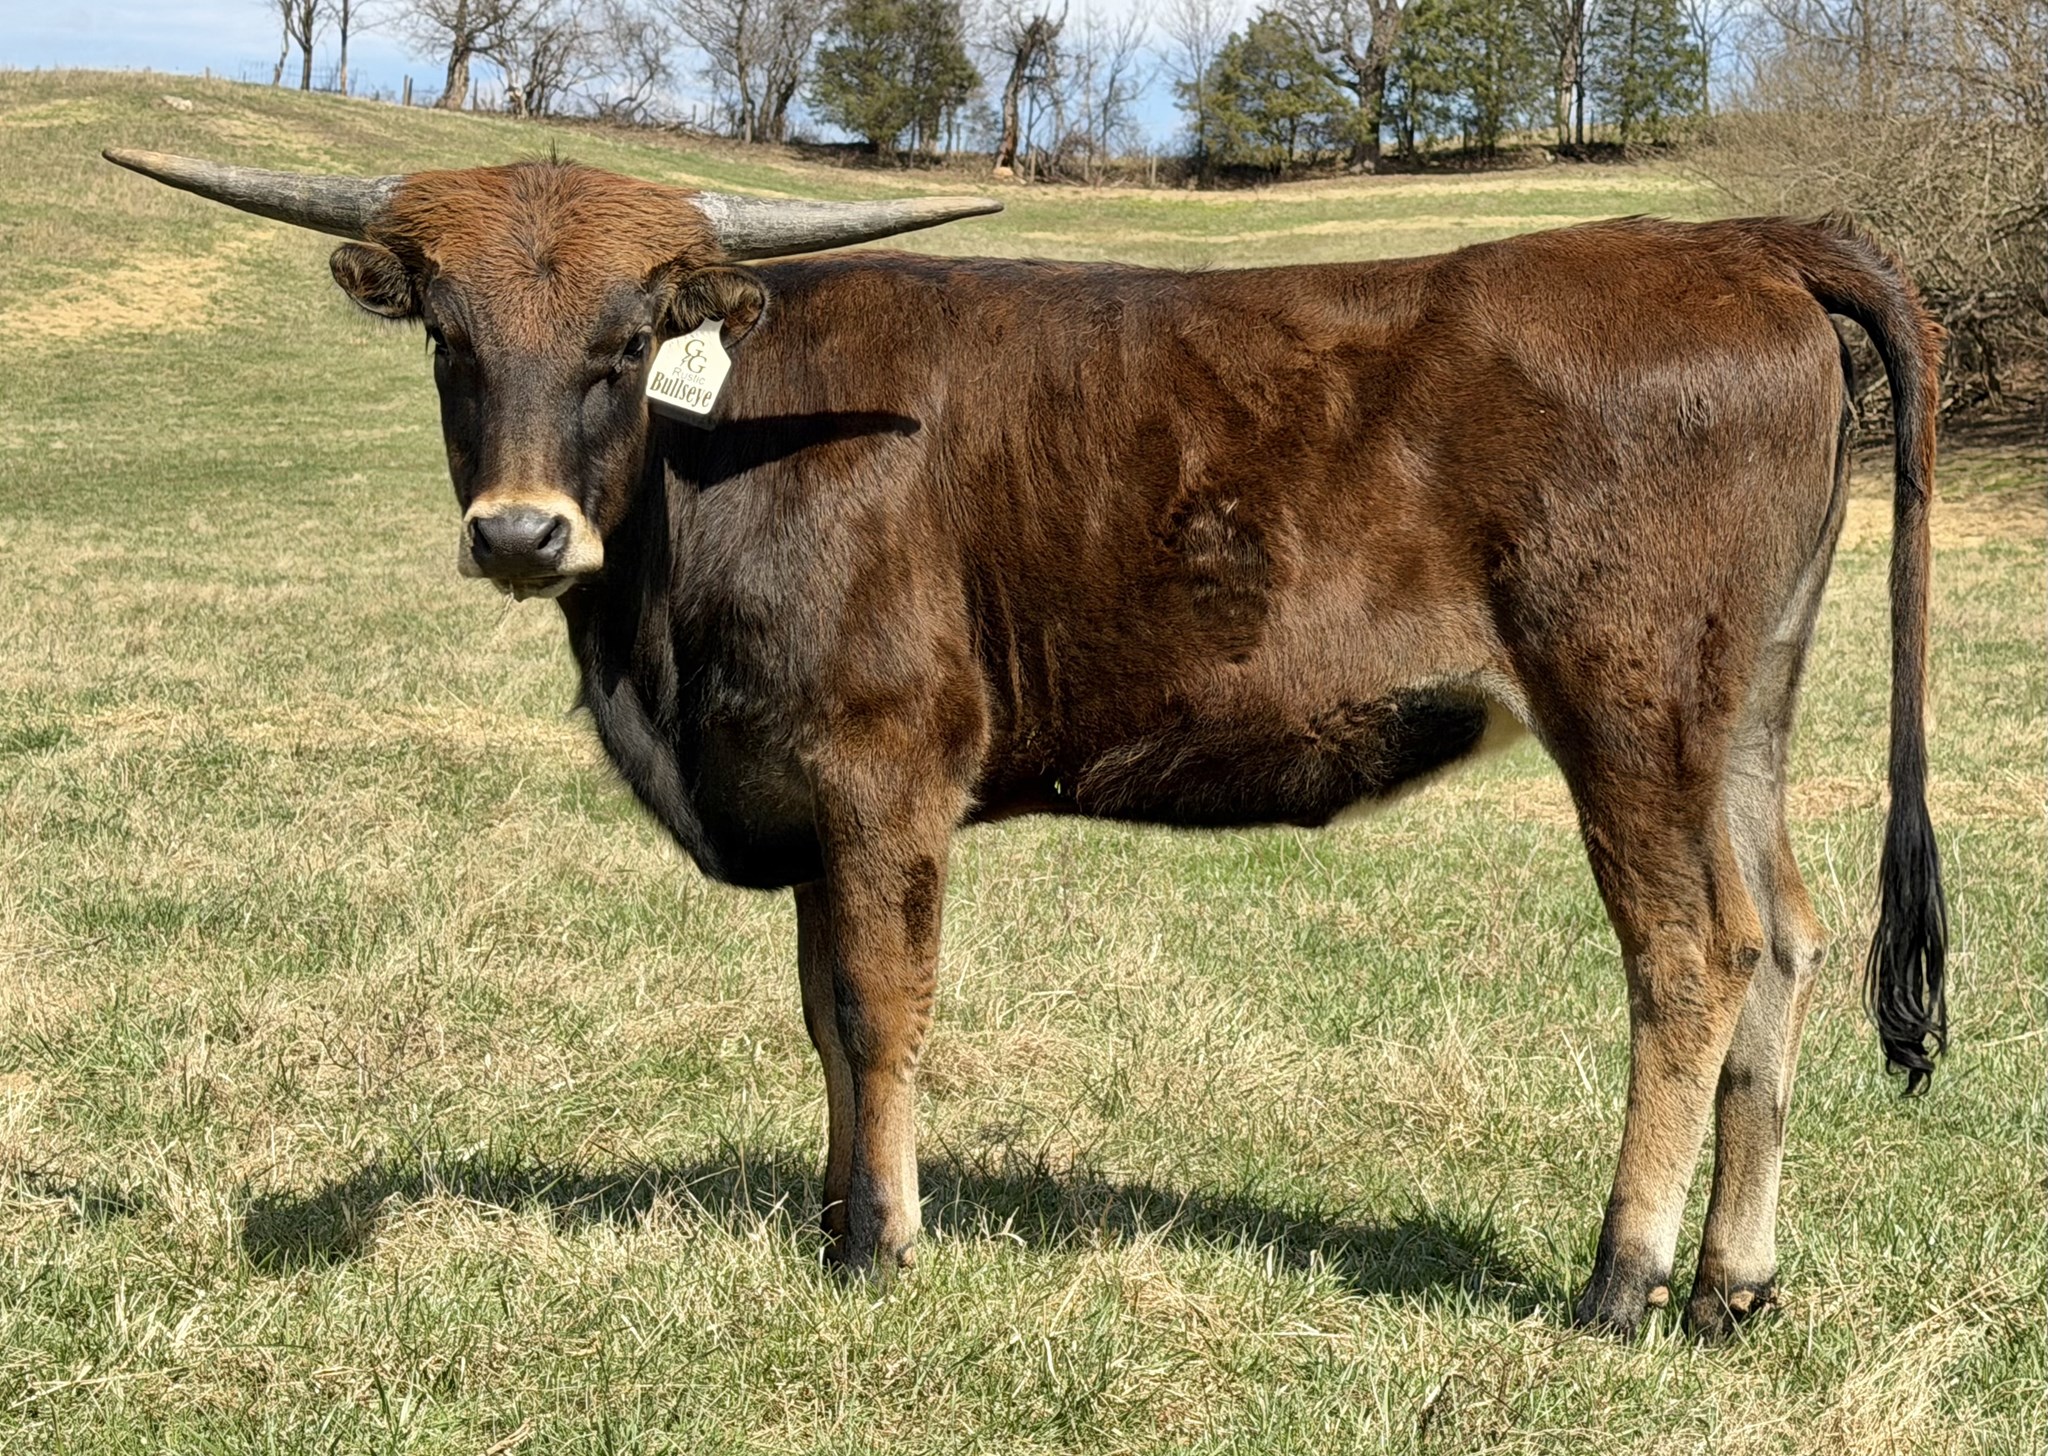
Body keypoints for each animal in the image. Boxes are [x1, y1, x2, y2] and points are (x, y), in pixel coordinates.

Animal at [103, 147, 1948, 1340]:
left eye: (626, 344)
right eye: (450, 337)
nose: (517, 532)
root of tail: (1732, 241)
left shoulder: (882, 772)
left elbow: (880, 1006)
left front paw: (884, 1247)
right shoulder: (806, 797)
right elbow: (819, 1019)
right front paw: (828, 1218)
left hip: (1625, 702)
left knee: (1691, 955)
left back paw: (1622, 1281)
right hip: (1742, 710)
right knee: (1786, 942)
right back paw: (1732, 1289)